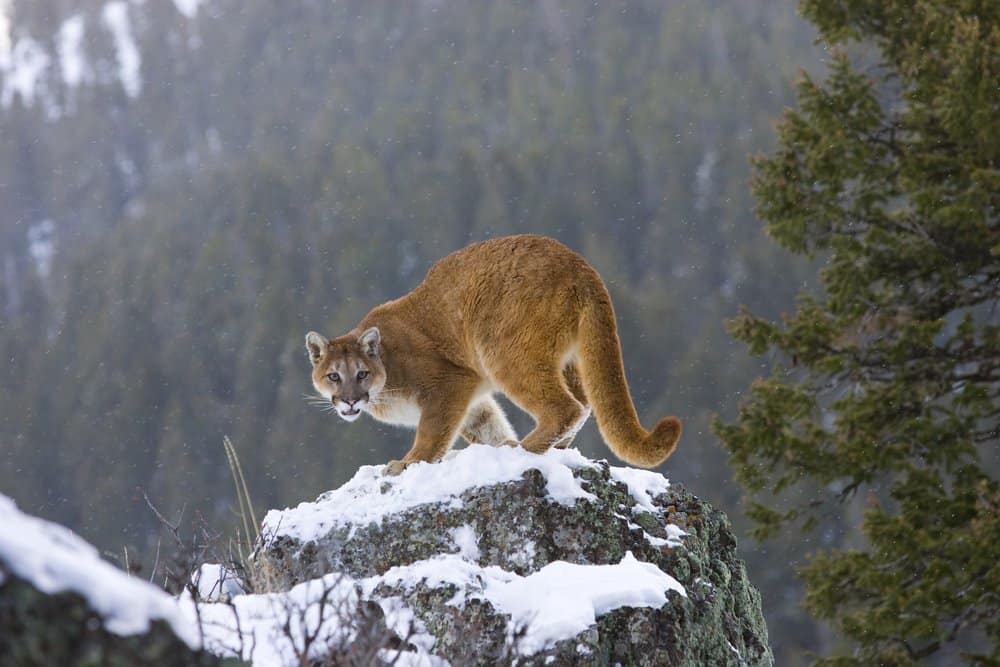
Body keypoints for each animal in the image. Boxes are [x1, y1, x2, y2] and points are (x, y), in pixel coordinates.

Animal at [304, 235, 680, 474]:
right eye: (334, 376)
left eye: (361, 373)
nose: (350, 400)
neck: (387, 375)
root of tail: (579, 264)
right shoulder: (473, 401)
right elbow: (489, 426)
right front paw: (496, 445)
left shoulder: (450, 383)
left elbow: (431, 432)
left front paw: (407, 463)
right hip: (569, 359)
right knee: (584, 403)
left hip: (503, 353)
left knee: (566, 407)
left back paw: (522, 451)